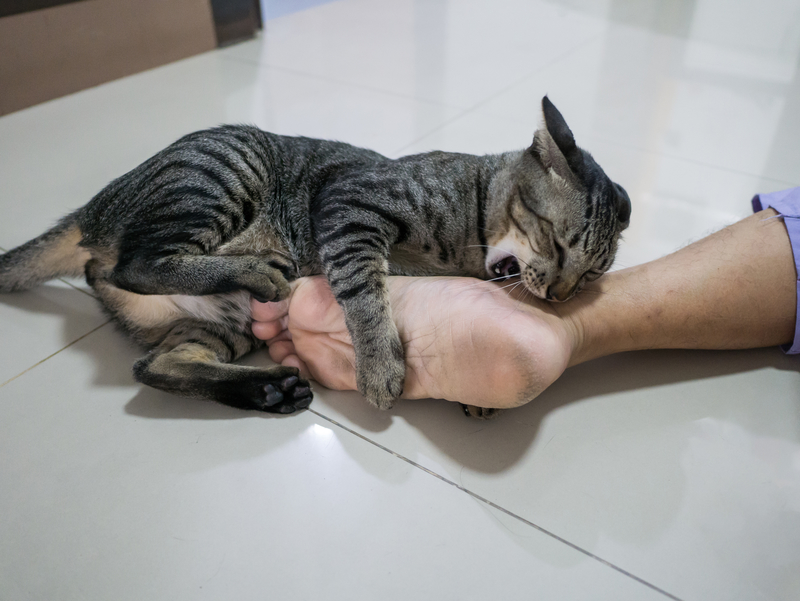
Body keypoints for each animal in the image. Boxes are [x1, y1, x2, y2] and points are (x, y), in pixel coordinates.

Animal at [0, 97, 632, 418]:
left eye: (591, 275)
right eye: (558, 242)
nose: (559, 295)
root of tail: (92, 209)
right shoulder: (352, 210)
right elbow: (366, 292)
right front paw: (380, 367)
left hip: (223, 323)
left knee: (154, 364)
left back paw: (267, 389)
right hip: (225, 171)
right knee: (134, 264)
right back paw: (258, 272)